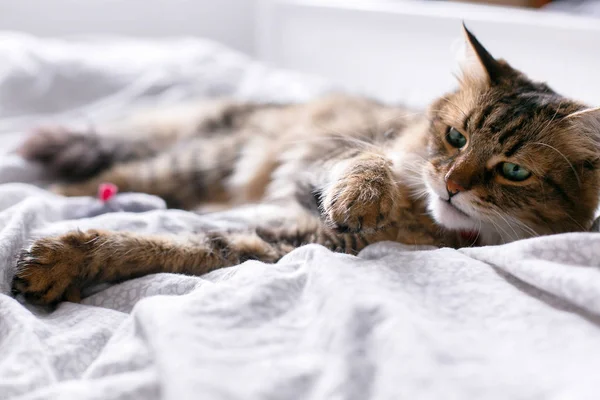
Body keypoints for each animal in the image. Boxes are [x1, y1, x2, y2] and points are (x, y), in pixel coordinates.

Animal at [10, 25, 600, 304]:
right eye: (456, 138)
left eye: (514, 171)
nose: (451, 184)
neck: (422, 225)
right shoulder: (320, 161)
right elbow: (367, 161)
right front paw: (362, 198)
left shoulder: (279, 241)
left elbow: (163, 246)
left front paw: (64, 264)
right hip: (198, 160)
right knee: (112, 175)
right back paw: (70, 194)